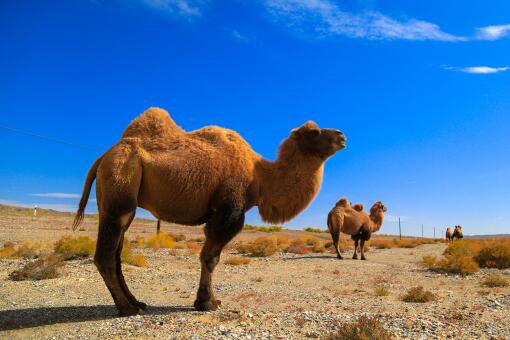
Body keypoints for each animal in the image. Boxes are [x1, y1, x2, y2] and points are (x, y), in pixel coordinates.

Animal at [71, 107, 346, 316]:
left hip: (123, 200)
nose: (342, 135)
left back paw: (137, 302)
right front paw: (207, 303)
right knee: (105, 255)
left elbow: (210, 257)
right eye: (314, 132)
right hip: (119, 189)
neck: (259, 176)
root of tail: (104, 156)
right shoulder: (229, 210)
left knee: (116, 253)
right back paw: (127, 308)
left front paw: (207, 300)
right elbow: (211, 258)